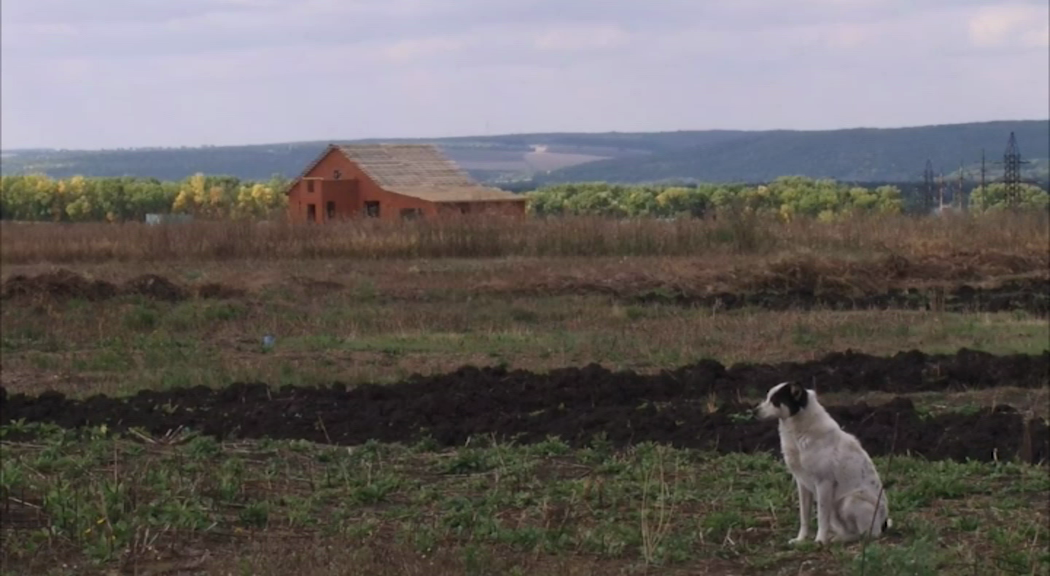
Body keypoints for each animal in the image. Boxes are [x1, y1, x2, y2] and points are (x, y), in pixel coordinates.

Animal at [755, 381, 894, 545]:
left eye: (775, 400)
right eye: (768, 397)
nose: (754, 411)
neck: (799, 434)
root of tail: (883, 523)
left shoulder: (824, 483)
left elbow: (821, 517)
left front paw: (819, 541)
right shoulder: (802, 483)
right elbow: (804, 516)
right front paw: (801, 539)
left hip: (850, 501)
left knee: (867, 534)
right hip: (835, 509)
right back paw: (838, 538)